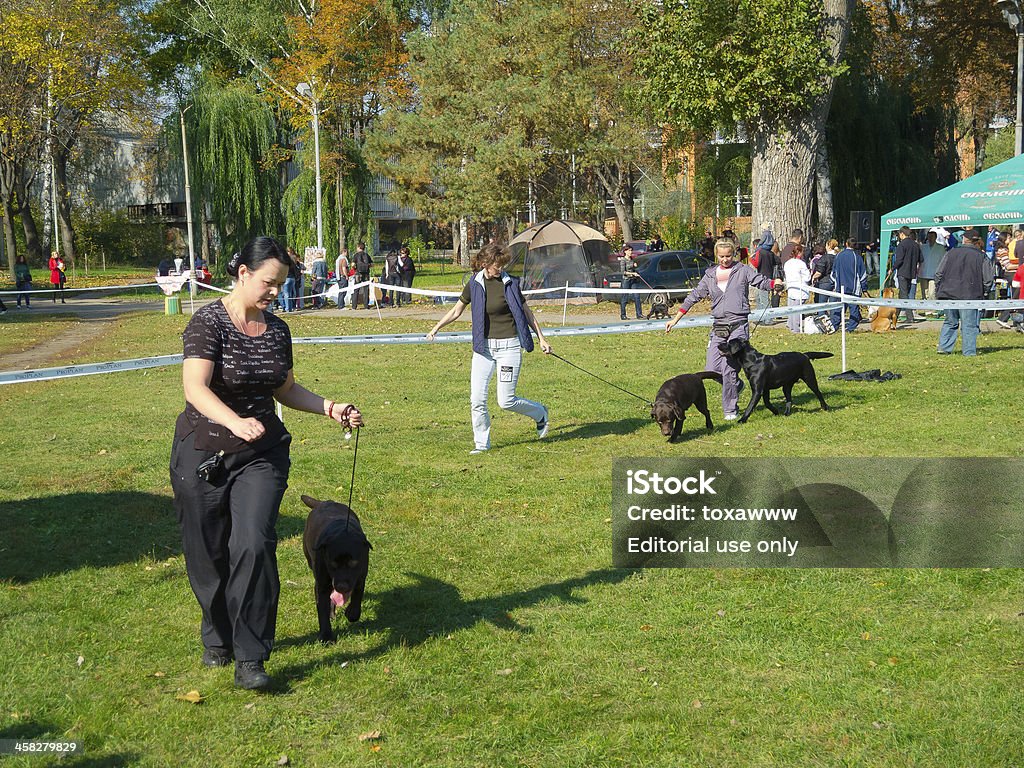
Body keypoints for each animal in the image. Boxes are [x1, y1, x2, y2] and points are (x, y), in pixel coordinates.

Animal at [299, 493, 372, 643]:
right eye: (332, 563)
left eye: (353, 563)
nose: (342, 586)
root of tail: (325, 502)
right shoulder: (321, 585)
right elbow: (322, 610)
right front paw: (326, 637)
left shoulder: (360, 578)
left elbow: (357, 598)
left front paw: (351, 612)